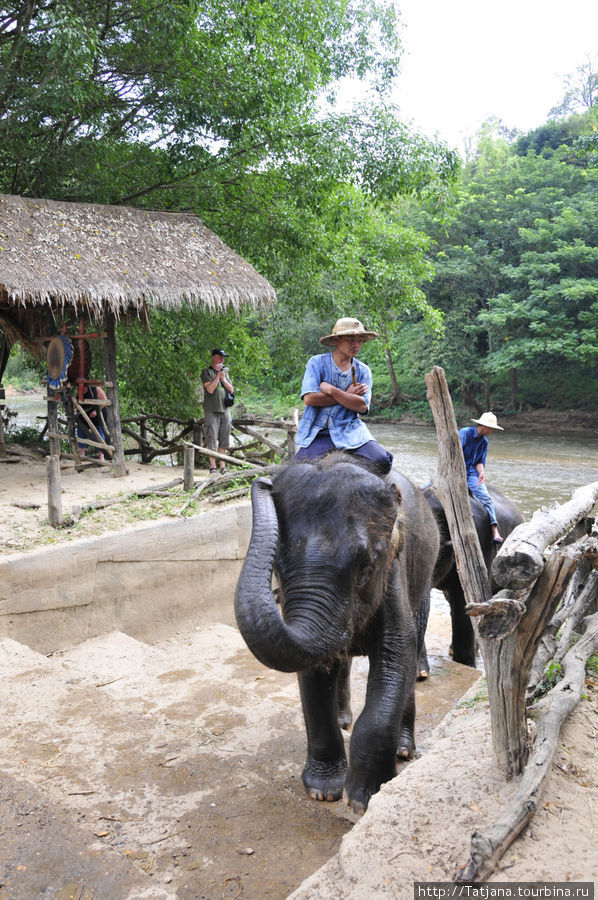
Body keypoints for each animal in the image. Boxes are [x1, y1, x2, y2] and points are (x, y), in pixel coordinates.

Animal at [236, 454, 440, 812]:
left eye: (365, 567)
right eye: (278, 566)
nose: (263, 481)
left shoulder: (394, 575)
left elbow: (397, 656)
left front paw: (363, 799)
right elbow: (312, 674)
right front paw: (323, 791)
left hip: (424, 578)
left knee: (413, 649)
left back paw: (404, 750)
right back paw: (344, 719)